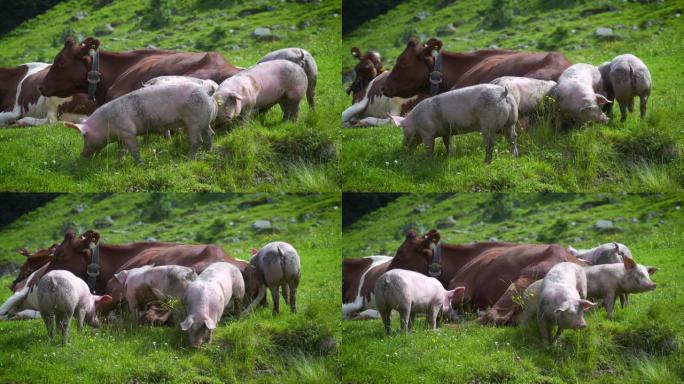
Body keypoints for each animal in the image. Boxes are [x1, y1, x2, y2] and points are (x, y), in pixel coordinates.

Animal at [63, 82, 216, 162]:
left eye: (84, 136)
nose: (82, 155)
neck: (106, 124)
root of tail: (205, 91)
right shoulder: (121, 136)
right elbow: (121, 150)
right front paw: (120, 161)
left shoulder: (128, 132)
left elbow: (133, 149)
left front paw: (140, 164)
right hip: (204, 120)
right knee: (210, 133)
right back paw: (208, 151)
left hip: (194, 120)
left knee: (197, 140)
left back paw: (189, 158)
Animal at [388, 83, 516, 161]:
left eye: (403, 130)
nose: (403, 144)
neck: (415, 121)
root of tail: (503, 93)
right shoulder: (446, 131)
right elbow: (447, 143)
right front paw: (450, 156)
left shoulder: (427, 131)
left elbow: (429, 146)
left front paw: (427, 160)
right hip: (511, 120)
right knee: (513, 137)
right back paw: (514, 156)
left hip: (488, 123)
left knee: (490, 143)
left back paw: (486, 162)